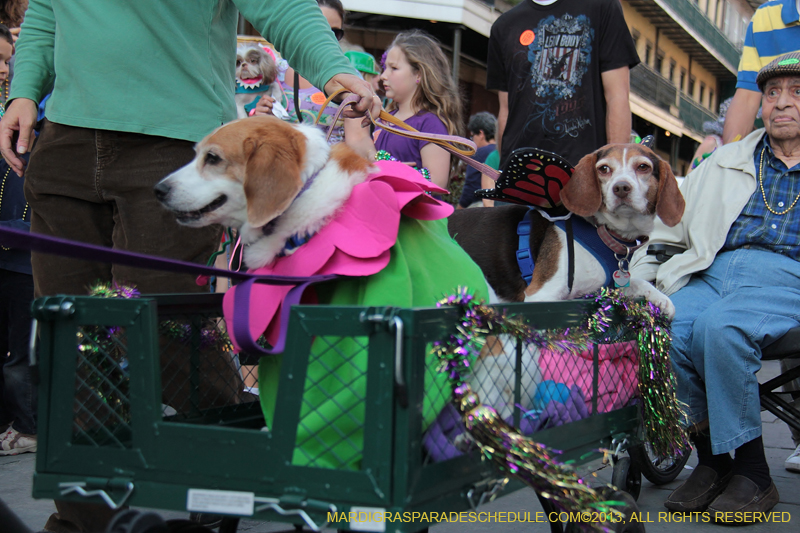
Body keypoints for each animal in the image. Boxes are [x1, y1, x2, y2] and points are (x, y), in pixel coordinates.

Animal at [446, 141, 684, 318]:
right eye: (604, 169)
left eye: (643, 167)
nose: (621, 188)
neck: (604, 233)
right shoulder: (541, 296)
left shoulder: (609, 285)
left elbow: (637, 281)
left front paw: (662, 300)